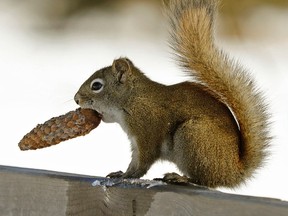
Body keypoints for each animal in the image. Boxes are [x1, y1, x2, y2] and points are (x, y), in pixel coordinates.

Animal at [73, 0, 270, 187]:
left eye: (96, 86)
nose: (76, 99)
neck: (133, 99)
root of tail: (232, 172)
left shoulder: (147, 131)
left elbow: (143, 161)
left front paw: (127, 176)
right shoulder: (136, 141)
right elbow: (135, 161)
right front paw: (121, 173)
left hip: (192, 137)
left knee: (204, 180)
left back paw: (180, 178)